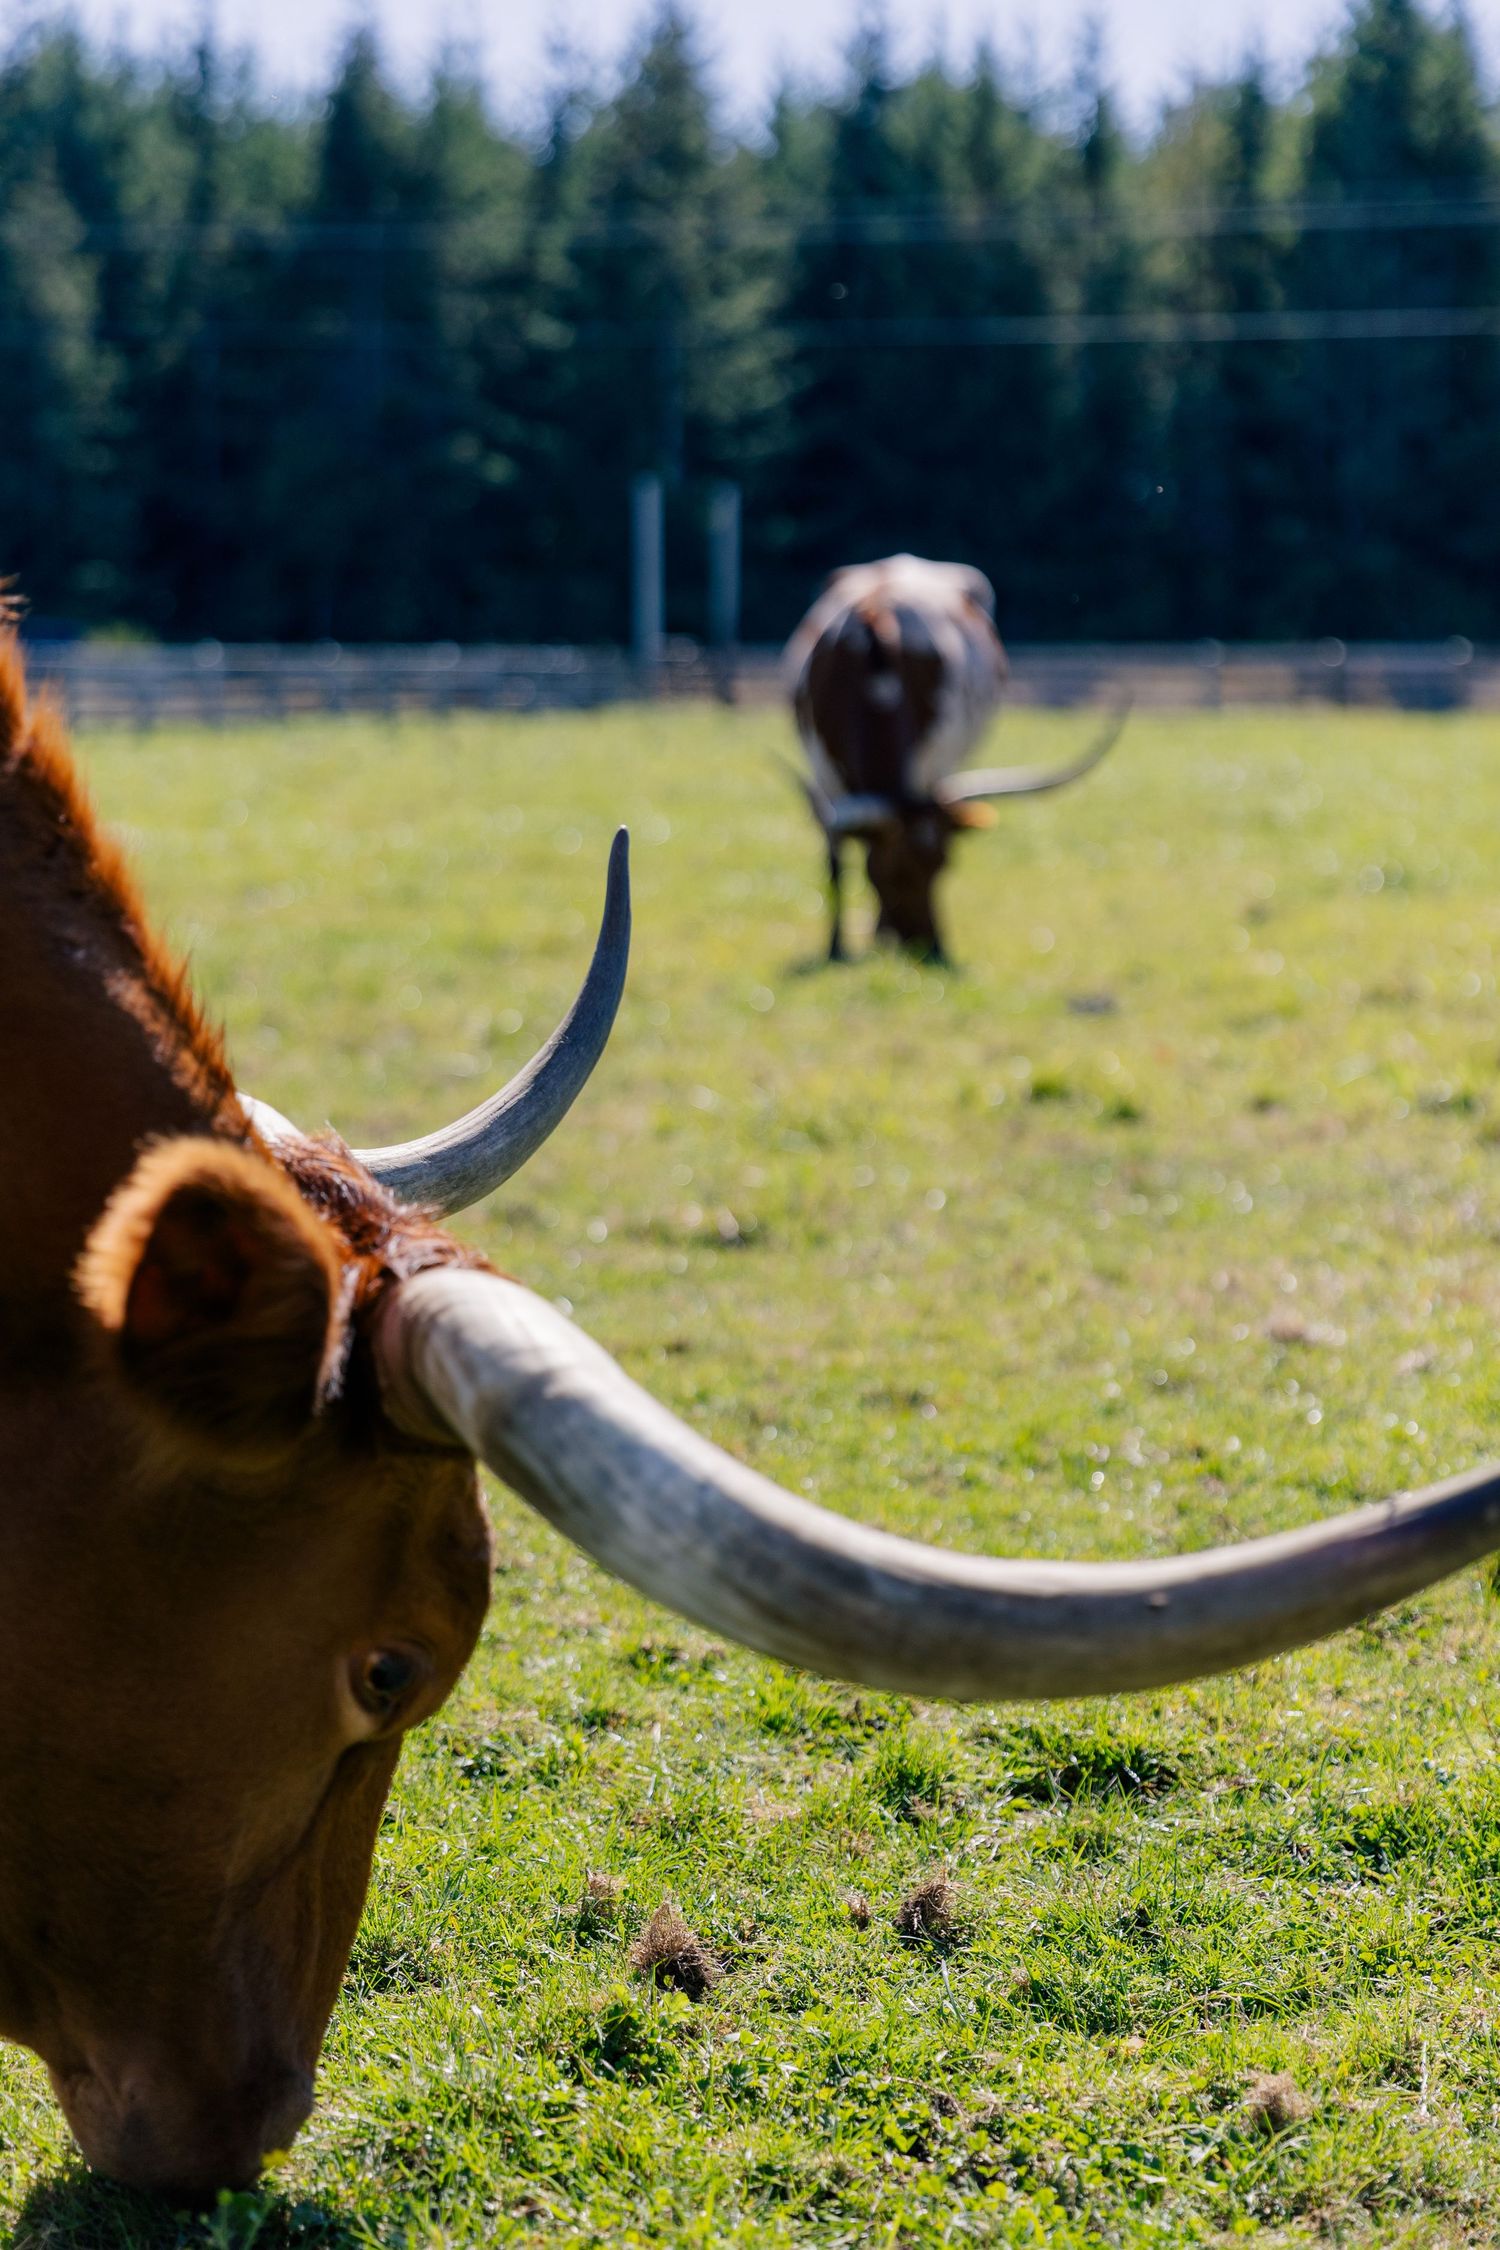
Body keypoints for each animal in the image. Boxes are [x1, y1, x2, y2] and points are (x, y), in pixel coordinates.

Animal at [785, 554, 1125, 963]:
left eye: (944, 866)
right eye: (890, 873)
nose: (924, 946)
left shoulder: (932, 765)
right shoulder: (822, 770)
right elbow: (835, 859)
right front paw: (836, 947)